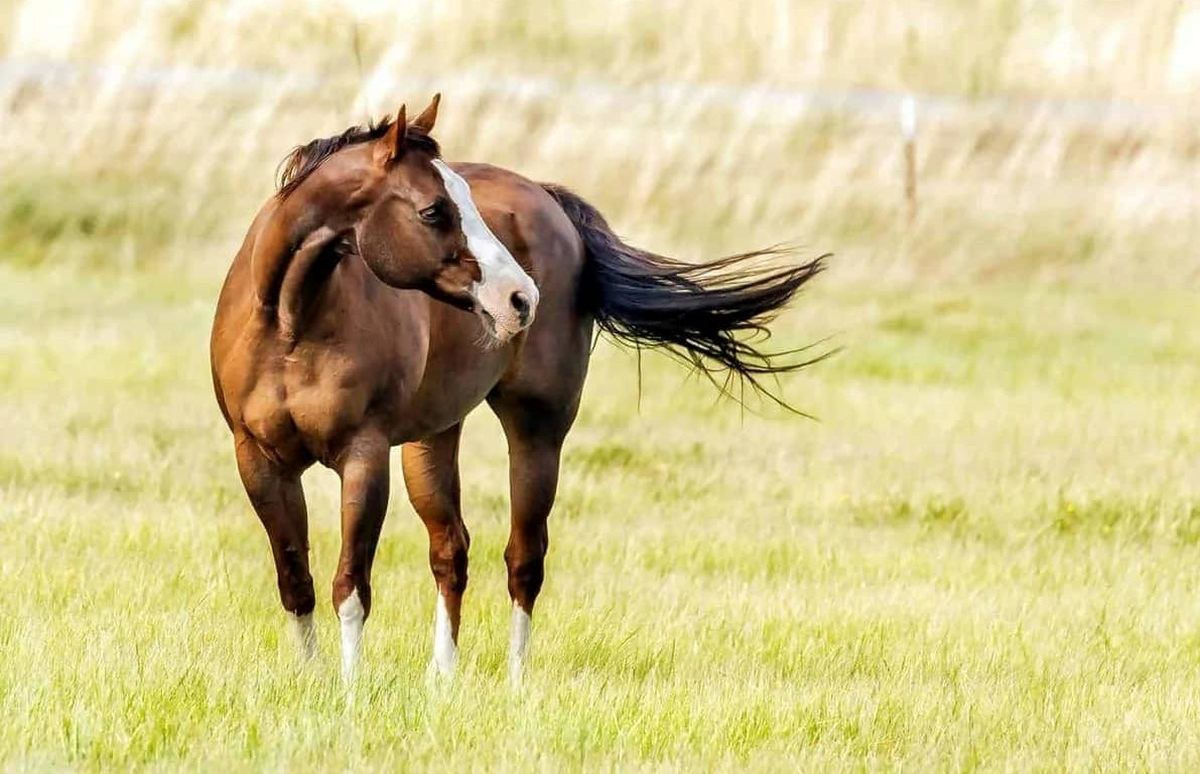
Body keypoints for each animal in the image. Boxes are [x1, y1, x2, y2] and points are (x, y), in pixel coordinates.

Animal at [208, 94, 825, 681]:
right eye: (433, 210)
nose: (520, 298)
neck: (294, 323)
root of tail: (552, 204)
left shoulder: (363, 455)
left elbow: (351, 585)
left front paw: (350, 691)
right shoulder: (259, 460)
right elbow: (296, 579)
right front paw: (314, 680)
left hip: (537, 430)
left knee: (524, 558)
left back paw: (515, 681)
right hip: (432, 438)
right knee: (450, 549)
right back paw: (442, 677)